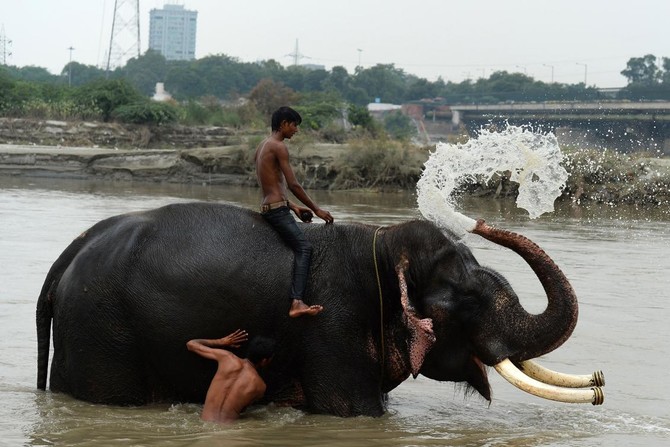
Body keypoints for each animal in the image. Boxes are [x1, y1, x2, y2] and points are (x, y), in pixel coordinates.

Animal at [36, 202, 604, 417]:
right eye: (467, 300)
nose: (479, 219)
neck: (382, 244)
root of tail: (67, 257)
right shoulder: (333, 322)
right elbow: (353, 413)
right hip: (102, 330)